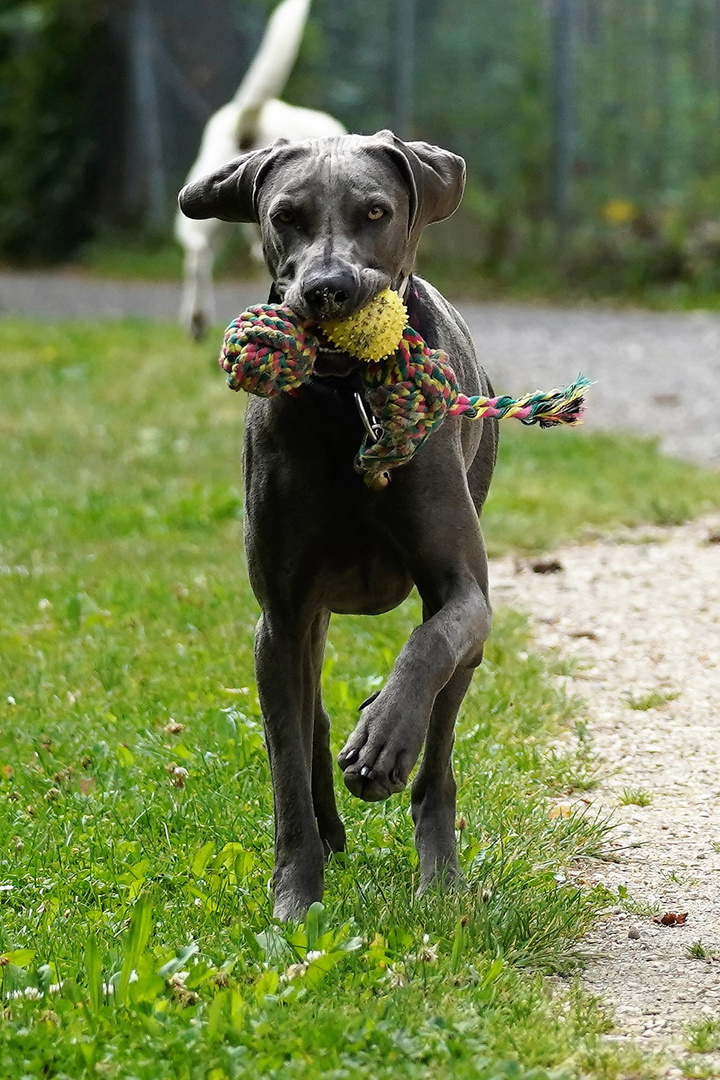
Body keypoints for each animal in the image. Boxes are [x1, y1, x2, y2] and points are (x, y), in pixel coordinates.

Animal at [177, 126, 498, 920]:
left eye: (376, 211)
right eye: (285, 216)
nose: (328, 289)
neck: (348, 397)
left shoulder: (465, 591)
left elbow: (429, 641)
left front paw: (384, 735)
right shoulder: (283, 616)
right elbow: (287, 767)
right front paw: (296, 896)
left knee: (438, 756)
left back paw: (439, 873)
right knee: (310, 719)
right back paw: (331, 825)